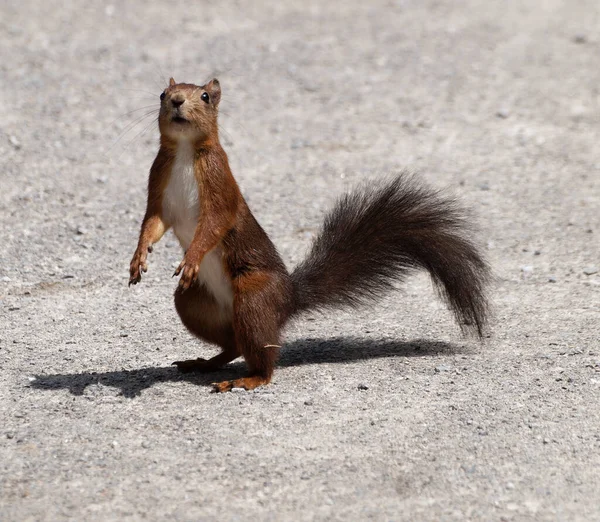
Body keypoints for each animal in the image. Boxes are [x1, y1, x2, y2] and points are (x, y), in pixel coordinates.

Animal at [129, 77, 490, 390]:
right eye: (163, 93)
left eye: (204, 96)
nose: (176, 101)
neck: (185, 152)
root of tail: (288, 299)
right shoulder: (159, 189)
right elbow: (152, 224)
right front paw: (138, 258)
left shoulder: (220, 188)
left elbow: (213, 226)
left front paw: (190, 259)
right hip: (194, 303)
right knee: (234, 345)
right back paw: (204, 362)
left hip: (253, 298)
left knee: (261, 355)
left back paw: (249, 378)